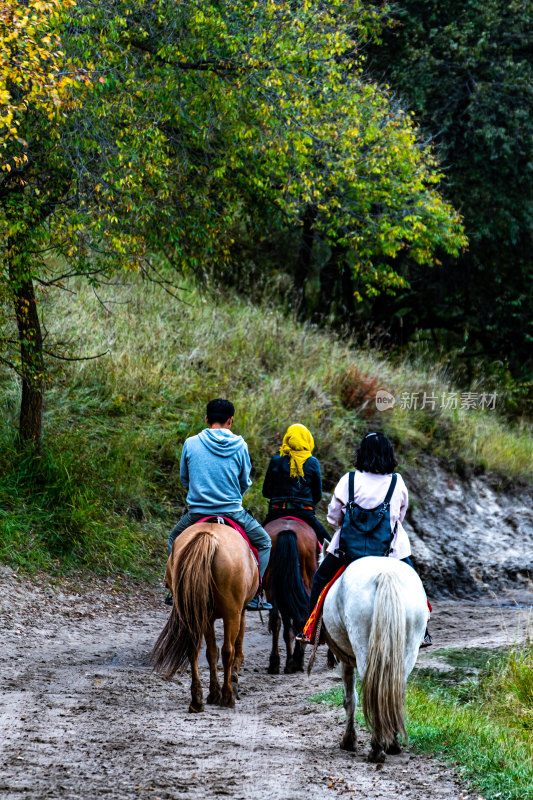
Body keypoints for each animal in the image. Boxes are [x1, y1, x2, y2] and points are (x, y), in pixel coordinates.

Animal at [151, 524, 258, 712]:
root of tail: (208, 535)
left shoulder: (207, 618)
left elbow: (211, 652)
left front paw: (214, 693)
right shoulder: (240, 611)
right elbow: (235, 648)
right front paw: (232, 684)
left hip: (194, 613)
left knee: (193, 650)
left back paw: (197, 699)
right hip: (232, 613)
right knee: (228, 651)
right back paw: (227, 696)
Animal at [262, 520, 320, 676]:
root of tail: (287, 530)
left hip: (272, 588)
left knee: (276, 622)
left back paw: (276, 664)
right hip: (307, 579)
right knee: (301, 619)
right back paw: (295, 661)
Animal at [320, 556, 428, 764]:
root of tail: (385, 573)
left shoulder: (345, 660)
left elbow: (349, 699)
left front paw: (349, 741)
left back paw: (377, 749)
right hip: (408, 650)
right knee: (394, 691)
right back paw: (393, 744)